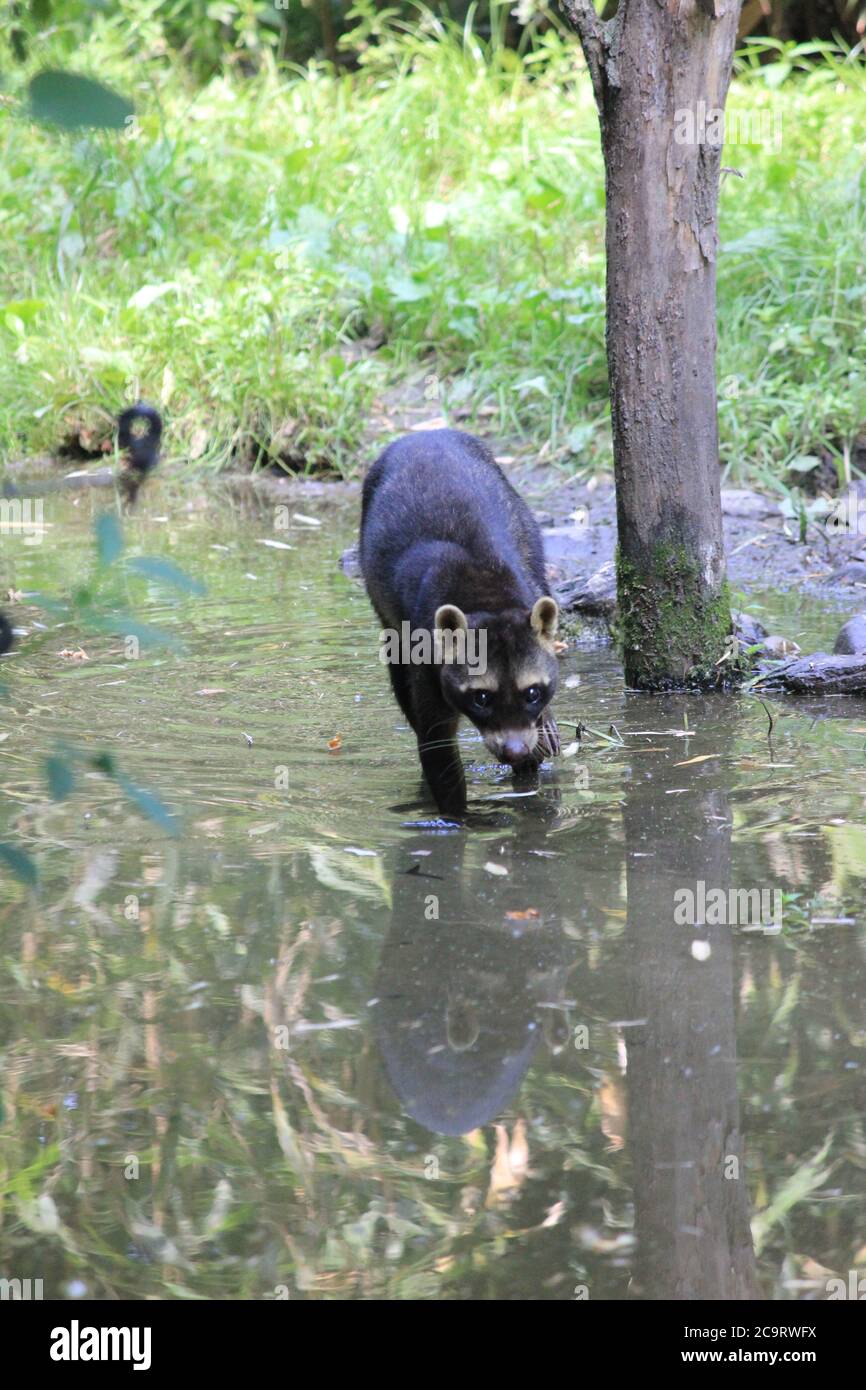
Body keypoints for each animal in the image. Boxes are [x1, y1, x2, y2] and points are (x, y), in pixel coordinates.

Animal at [361, 425, 558, 811]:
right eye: (481, 697)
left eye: (532, 692)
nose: (514, 751)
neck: (486, 596)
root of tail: (425, 433)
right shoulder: (426, 653)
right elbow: (436, 745)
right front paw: (456, 819)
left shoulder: (529, 583)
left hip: (524, 520)